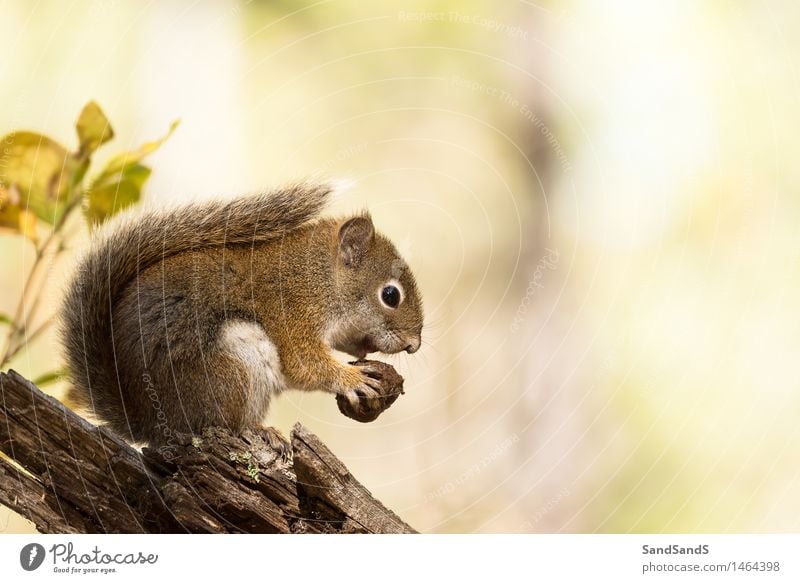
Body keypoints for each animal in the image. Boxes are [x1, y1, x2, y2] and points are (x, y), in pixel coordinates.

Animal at [61, 185, 424, 450]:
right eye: (390, 295)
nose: (414, 345)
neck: (317, 276)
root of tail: (148, 424)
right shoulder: (292, 312)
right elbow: (304, 364)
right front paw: (354, 379)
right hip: (232, 370)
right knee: (221, 424)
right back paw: (256, 431)